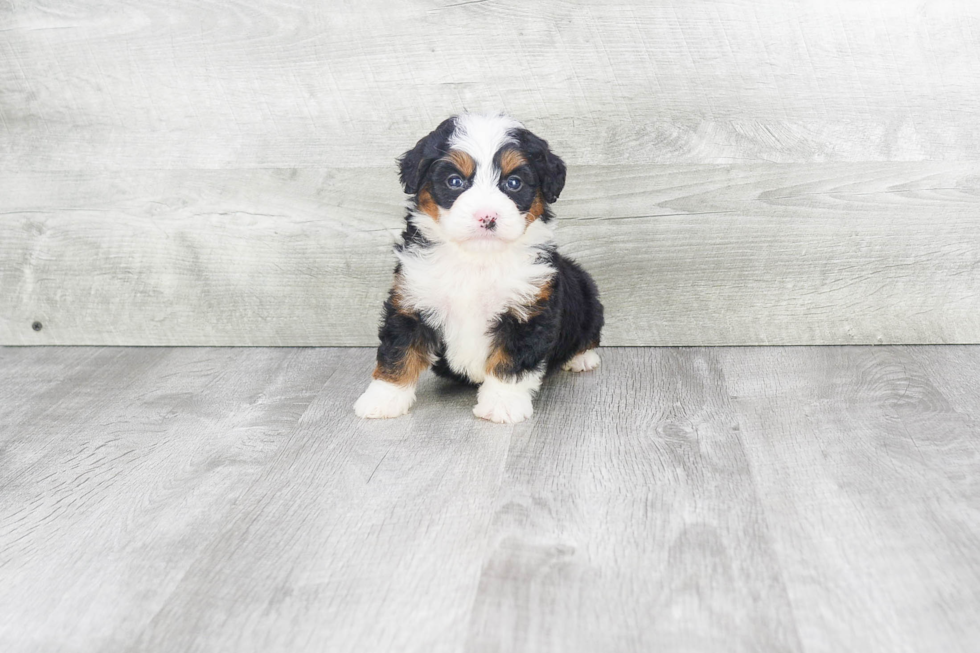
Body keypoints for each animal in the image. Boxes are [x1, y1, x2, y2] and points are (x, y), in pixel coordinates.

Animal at [356, 112, 600, 422]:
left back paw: (582, 357)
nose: (487, 216)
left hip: (587, 295)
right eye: (455, 181)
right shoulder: (412, 300)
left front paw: (502, 404)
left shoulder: (528, 308)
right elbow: (399, 351)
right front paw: (383, 398)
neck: (476, 259)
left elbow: (510, 361)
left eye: (514, 183)